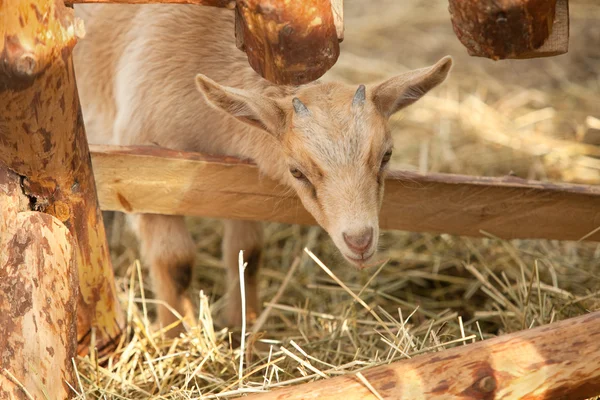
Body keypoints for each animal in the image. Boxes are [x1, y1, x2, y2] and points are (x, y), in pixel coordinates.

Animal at [74, 3, 450, 334]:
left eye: (386, 155)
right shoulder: (145, 176)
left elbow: (246, 255)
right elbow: (175, 262)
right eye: (296, 171)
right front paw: (176, 335)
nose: (359, 240)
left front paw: (245, 322)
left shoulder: (240, 181)